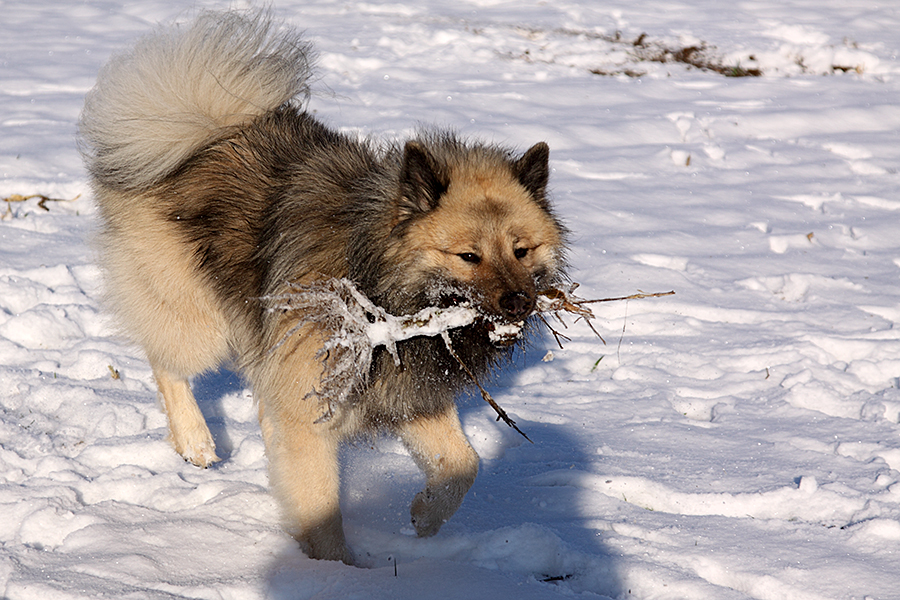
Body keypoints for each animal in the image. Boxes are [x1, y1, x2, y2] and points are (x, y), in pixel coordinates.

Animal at [81, 8, 568, 564]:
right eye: (469, 256)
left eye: (521, 250)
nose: (519, 302)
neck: (375, 284)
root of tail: (199, 124)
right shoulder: (313, 406)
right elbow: (321, 505)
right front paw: (335, 572)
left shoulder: (402, 393)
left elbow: (462, 464)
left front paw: (424, 516)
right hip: (196, 317)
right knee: (168, 363)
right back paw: (196, 441)